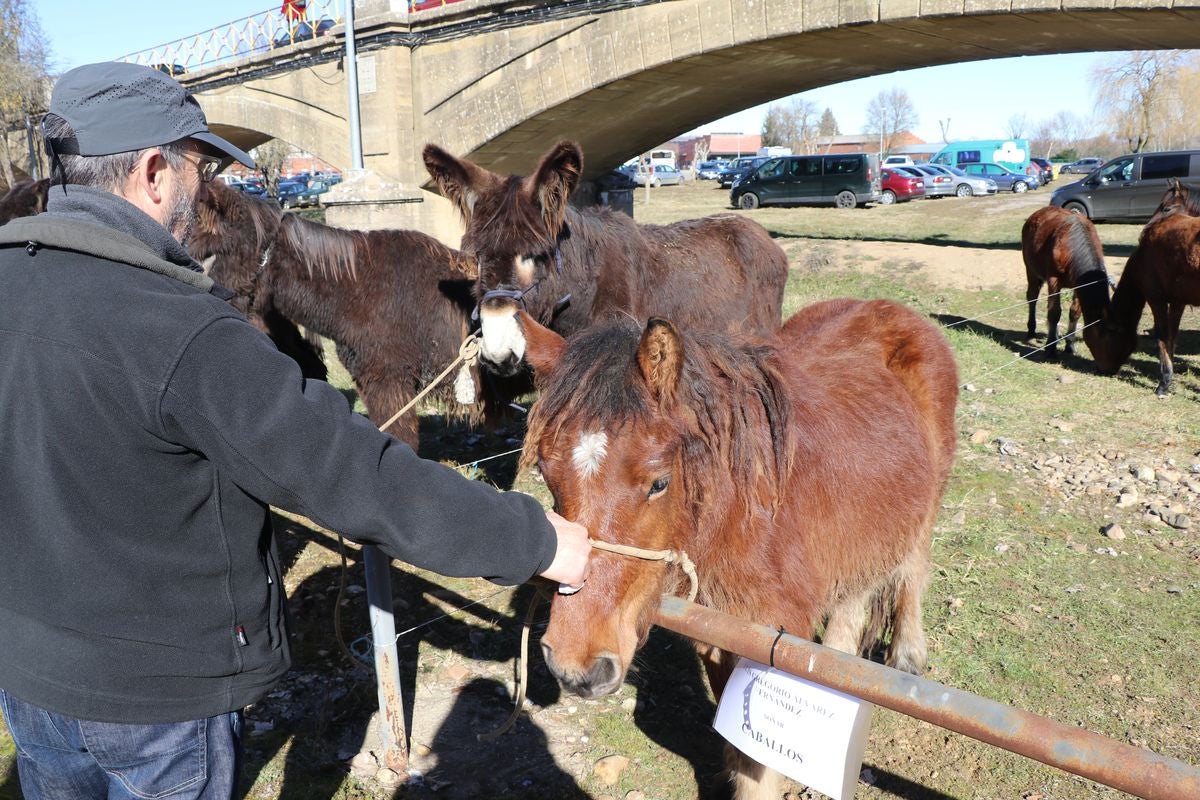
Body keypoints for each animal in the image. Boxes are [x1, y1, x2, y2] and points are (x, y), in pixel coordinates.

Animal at [520, 297, 960, 796]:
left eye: (659, 483)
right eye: (546, 473)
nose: (575, 668)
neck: (741, 519)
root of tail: (891, 309)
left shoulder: (773, 641)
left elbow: (757, 767)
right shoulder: (717, 632)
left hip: (929, 500)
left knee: (912, 568)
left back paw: (907, 653)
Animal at [1022, 206, 1113, 369]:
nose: (1108, 367)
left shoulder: (1079, 284)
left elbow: (1074, 313)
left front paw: (1069, 345)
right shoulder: (1054, 280)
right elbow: (1054, 313)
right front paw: (1051, 348)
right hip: (1031, 271)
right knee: (1032, 298)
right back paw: (1031, 330)